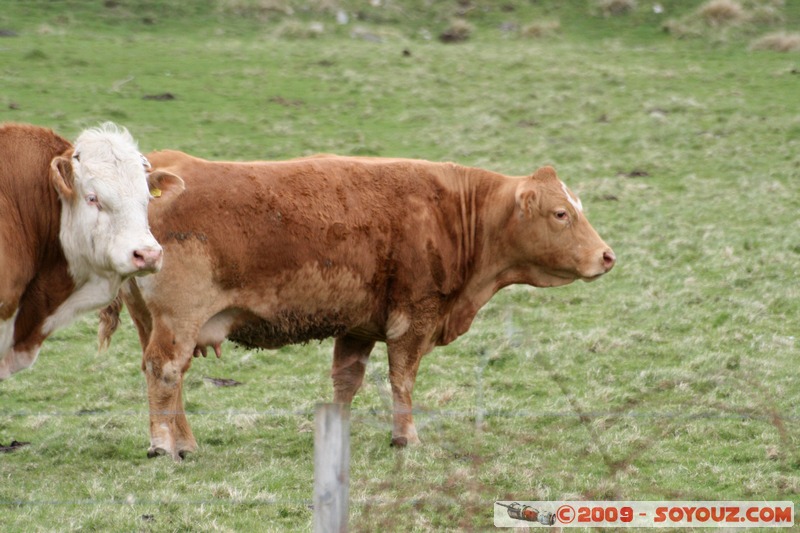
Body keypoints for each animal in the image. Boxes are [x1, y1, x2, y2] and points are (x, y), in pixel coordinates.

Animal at [98, 151, 612, 462]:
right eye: (561, 213)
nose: (607, 256)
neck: (450, 212)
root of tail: (156, 171)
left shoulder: (359, 326)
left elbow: (346, 381)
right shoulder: (413, 316)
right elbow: (403, 380)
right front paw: (407, 437)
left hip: (152, 321)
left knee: (169, 375)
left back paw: (185, 442)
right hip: (178, 321)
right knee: (165, 371)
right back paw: (163, 445)